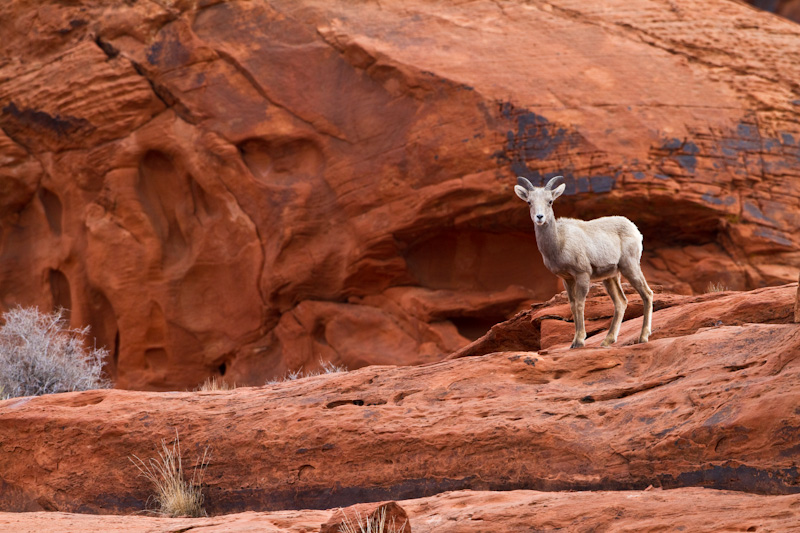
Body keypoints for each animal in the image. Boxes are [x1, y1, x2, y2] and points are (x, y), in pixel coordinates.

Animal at [516, 176, 652, 350]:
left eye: (550, 201)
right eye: (529, 202)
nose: (540, 217)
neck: (559, 243)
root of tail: (635, 229)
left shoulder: (582, 274)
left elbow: (580, 305)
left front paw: (579, 341)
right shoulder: (567, 279)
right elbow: (573, 306)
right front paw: (574, 341)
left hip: (630, 267)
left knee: (647, 294)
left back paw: (643, 338)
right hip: (610, 277)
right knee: (621, 302)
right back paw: (607, 341)